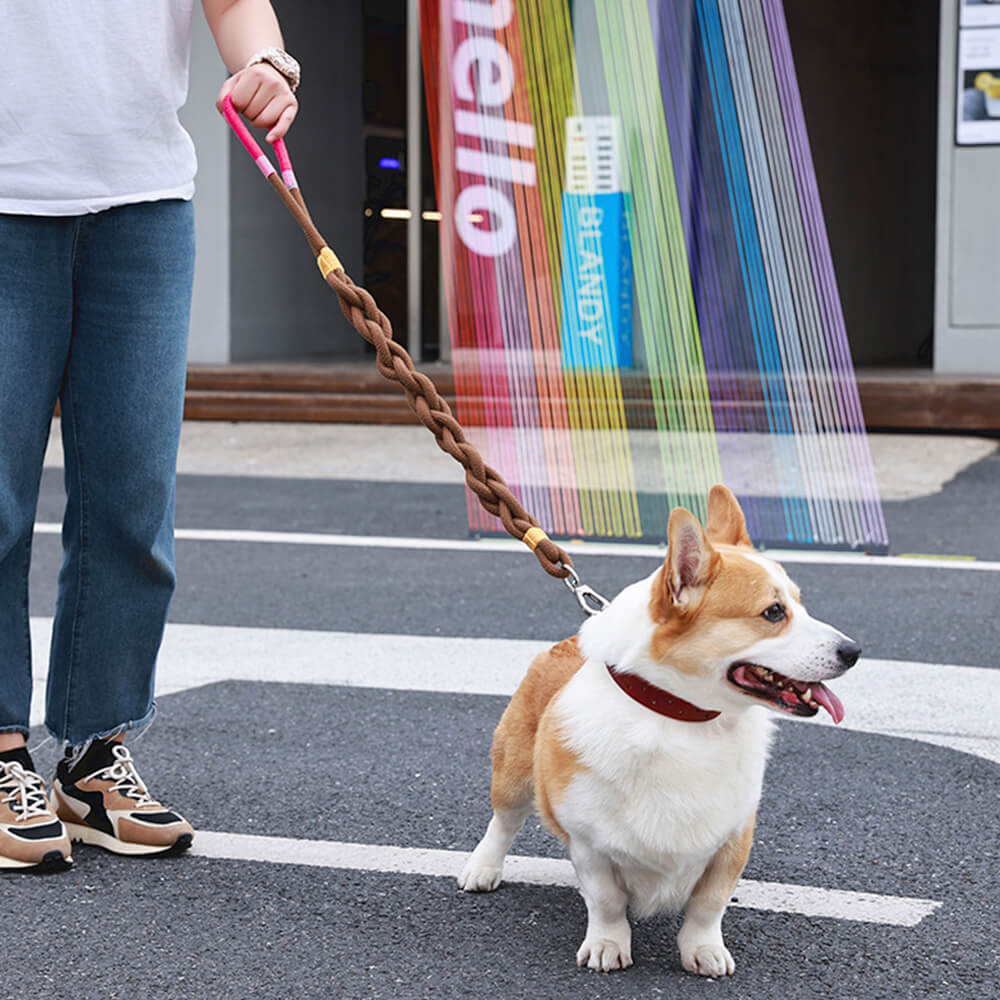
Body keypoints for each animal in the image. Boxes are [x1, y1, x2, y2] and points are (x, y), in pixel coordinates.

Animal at [458, 484, 860, 976]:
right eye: (773, 612)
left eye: (801, 605)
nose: (854, 651)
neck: (683, 718)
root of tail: (567, 641)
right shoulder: (591, 844)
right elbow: (607, 901)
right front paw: (608, 946)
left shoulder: (733, 838)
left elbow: (708, 905)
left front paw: (704, 951)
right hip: (514, 772)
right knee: (504, 820)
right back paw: (483, 868)